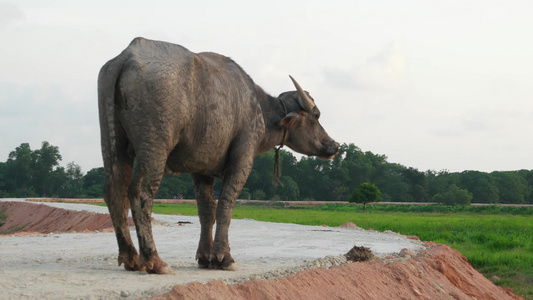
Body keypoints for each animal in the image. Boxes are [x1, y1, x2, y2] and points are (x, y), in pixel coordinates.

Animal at [97, 37, 336, 274]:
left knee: (114, 189)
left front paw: (205, 256)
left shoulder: (200, 169)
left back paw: (130, 257)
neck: (259, 110)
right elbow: (225, 206)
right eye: (316, 116)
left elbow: (206, 210)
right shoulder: (242, 160)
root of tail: (127, 55)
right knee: (140, 193)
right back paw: (154, 260)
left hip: (112, 143)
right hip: (155, 146)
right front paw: (224, 257)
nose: (333, 145)